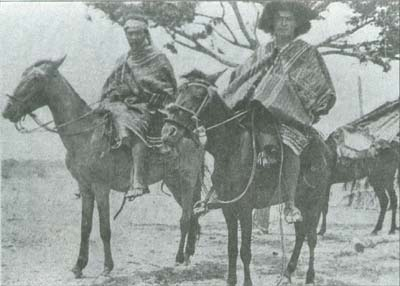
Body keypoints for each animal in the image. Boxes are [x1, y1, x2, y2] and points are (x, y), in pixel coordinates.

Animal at [1, 57, 205, 278]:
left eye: (35, 78)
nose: (8, 110)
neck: (85, 134)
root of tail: (193, 132)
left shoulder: (101, 187)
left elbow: (104, 229)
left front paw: (107, 267)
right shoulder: (85, 187)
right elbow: (85, 226)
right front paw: (79, 266)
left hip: (187, 179)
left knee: (185, 218)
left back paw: (181, 259)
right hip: (174, 182)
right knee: (193, 215)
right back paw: (188, 254)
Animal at [161, 70, 332, 286]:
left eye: (198, 96)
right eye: (178, 92)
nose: (168, 132)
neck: (232, 148)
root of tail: (325, 149)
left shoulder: (245, 209)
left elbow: (245, 251)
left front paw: (247, 282)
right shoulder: (228, 209)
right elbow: (232, 248)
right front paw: (231, 280)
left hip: (314, 201)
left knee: (310, 238)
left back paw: (309, 277)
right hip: (302, 200)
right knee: (301, 234)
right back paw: (287, 273)